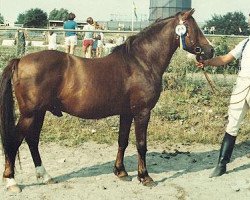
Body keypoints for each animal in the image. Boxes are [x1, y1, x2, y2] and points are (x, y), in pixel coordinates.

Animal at [0, 9, 213, 192]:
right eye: (193, 28)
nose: (210, 51)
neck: (141, 62)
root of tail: (20, 61)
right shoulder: (142, 112)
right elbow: (141, 144)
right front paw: (144, 177)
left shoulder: (127, 113)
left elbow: (123, 141)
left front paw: (121, 172)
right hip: (30, 114)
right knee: (15, 141)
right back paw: (12, 181)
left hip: (39, 113)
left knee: (32, 140)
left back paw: (45, 176)